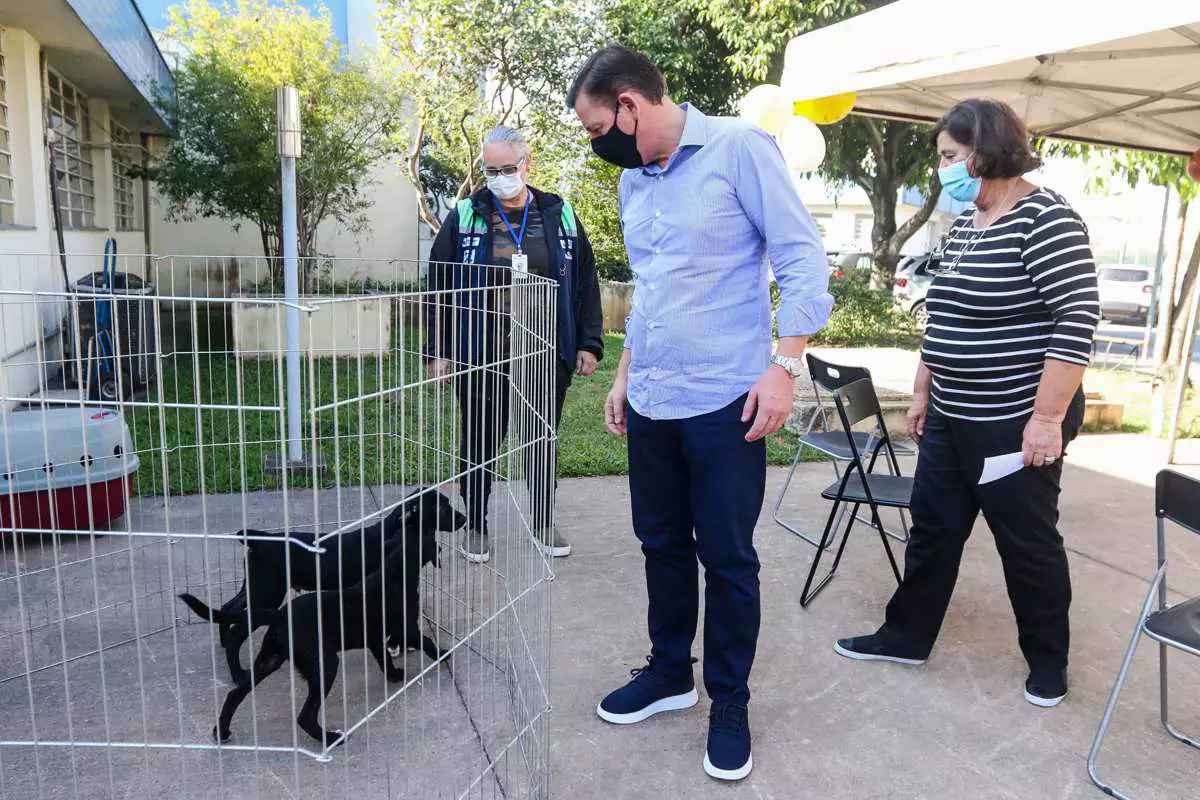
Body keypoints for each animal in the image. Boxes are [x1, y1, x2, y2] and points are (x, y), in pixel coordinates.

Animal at [178, 491, 463, 686]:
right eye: (442, 506)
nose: (464, 518)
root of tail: (260, 540)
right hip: (268, 593)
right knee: (238, 632)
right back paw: (238, 674)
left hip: (257, 587)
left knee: (229, 607)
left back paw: (222, 641)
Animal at [206, 522, 441, 748]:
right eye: (430, 534)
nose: (439, 544)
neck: (396, 571)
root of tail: (281, 615)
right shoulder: (407, 629)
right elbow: (427, 642)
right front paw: (444, 655)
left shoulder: (375, 637)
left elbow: (384, 659)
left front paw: (394, 675)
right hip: (322, 661)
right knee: (305, 717)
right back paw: (329, 738)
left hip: (270, 658)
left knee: (235, 694)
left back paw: (222, 731)